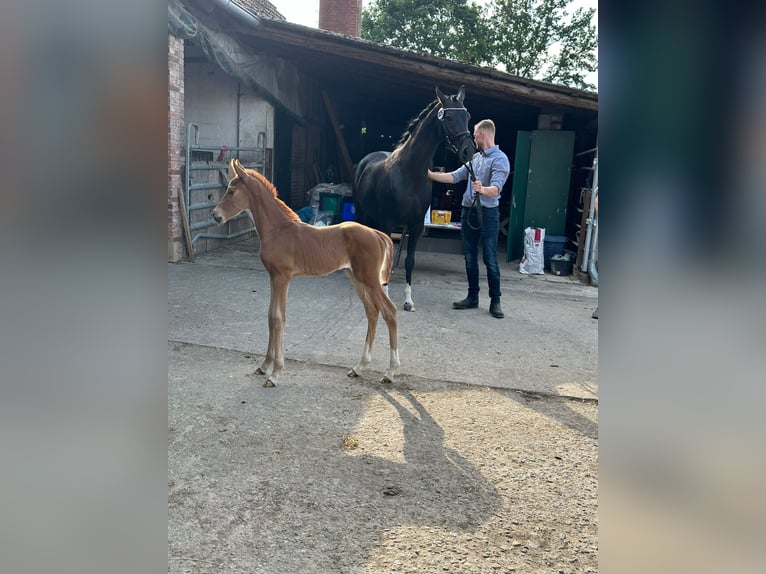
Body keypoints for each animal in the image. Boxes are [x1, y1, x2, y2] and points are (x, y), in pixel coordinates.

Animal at [352, 85, 474, 310]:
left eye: (467, 116)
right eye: (449, 117)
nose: (468, 151)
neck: (409, 172)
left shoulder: (415, 225)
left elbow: (410, 261)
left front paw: (408, 300)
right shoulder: (389, 222)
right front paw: (386, 296)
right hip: (362, 211)